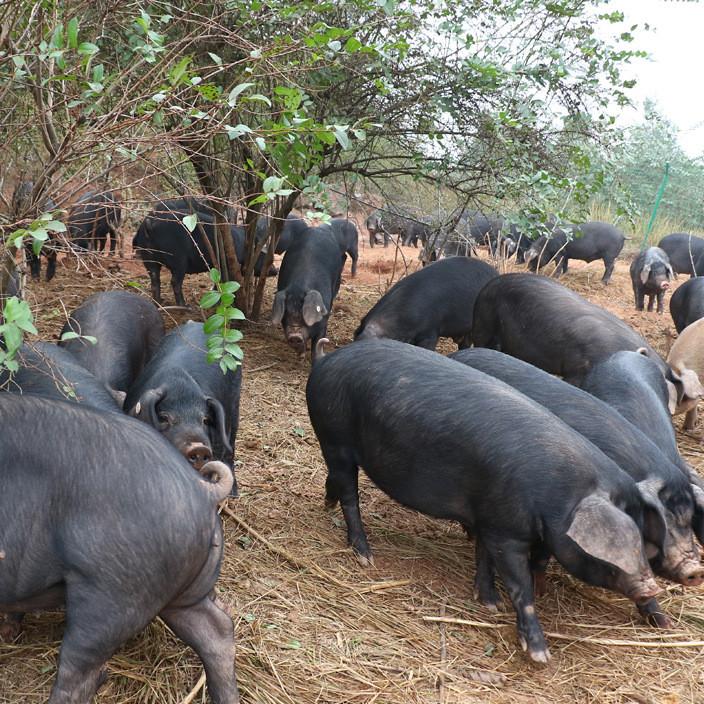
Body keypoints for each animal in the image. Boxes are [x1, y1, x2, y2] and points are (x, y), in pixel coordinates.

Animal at [270, 224, 346, 360]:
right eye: (286, 314)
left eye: (303, 314)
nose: (295, 336)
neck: (299, 286)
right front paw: (301, 355)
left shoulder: (324, 317)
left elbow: (318, 342)